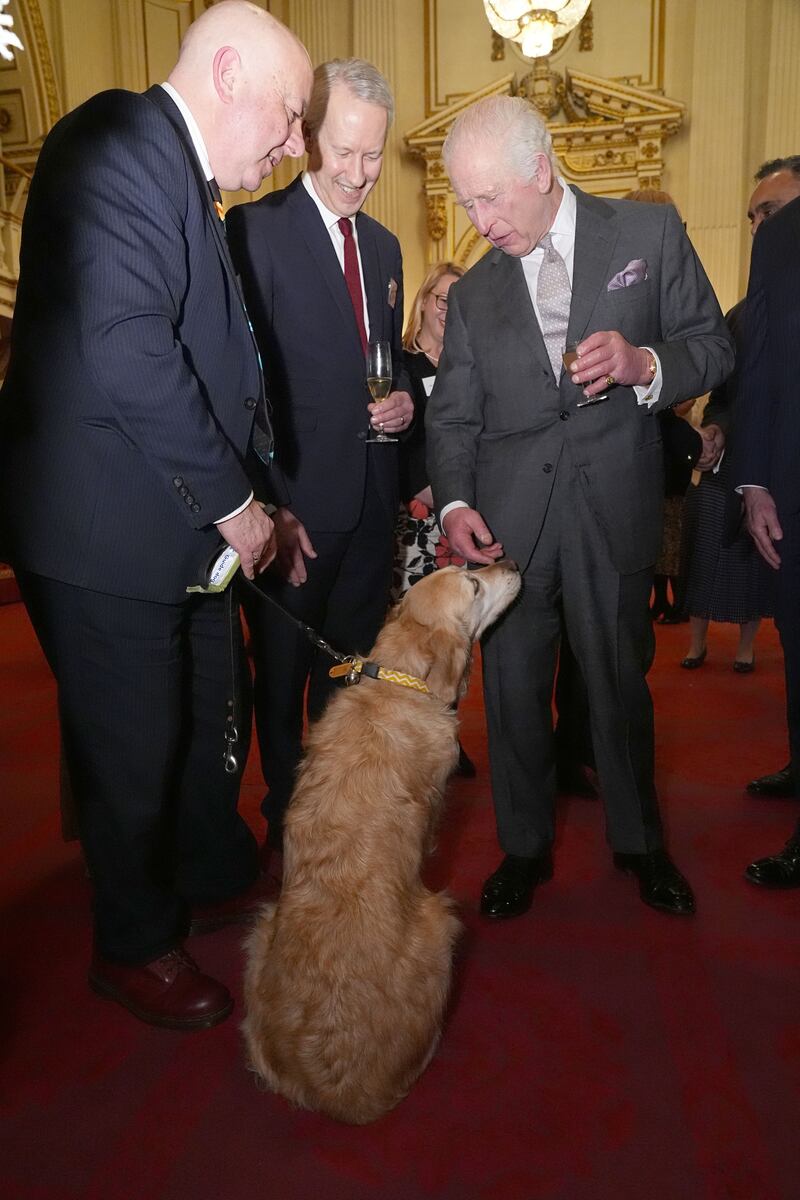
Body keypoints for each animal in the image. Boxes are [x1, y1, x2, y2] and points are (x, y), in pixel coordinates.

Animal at [241, 561, 522, 1123]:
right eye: (473, 583)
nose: (513, 562)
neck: (397, 682)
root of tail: (338, 1099)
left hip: (262, 928)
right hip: (443, 922)